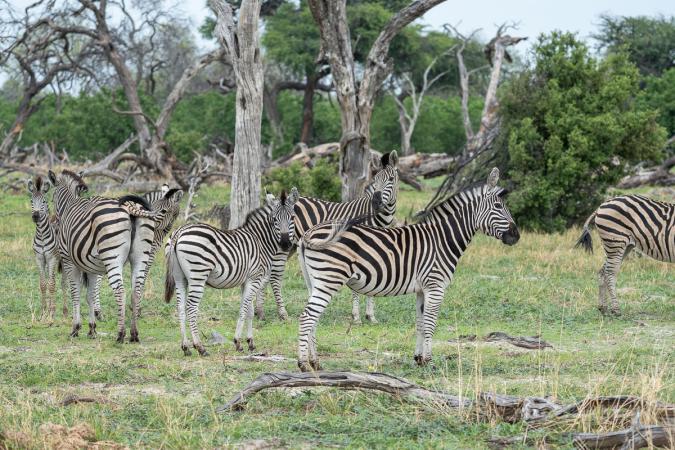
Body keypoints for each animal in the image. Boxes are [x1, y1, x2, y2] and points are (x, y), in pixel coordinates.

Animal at [48, 170, 161, 342]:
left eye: (52, 197)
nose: (54, 220)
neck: (69, 204)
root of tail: (130, 208)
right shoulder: (91, 267)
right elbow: (90, 296)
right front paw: (92, 329)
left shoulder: (69, 261)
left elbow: (76, 293)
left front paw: (75, 328)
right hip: (141, 256)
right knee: (136, 291)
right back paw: (134, 334)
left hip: (112, 256)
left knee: (120, 291)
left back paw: (120, 334)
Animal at [164, 188, 299, 356]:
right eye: (274, 219)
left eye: (292, 217)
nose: (286, 244)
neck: (261, 240)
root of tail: (179, 231)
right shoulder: (255, 278)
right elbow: (244, 309)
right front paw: (238, 342)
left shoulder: (246, 281)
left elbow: (250, 310)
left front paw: (250, 342)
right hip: (198, 275)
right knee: (191, 308)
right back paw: (200, 347)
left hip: (179, 277)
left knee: (181, 307)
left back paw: (185, 347)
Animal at [256, 151, 400, 324]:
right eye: (375, 180)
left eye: (390, 179)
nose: (376, 203)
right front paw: (356, 317)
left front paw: (371, 316)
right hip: (282, 244)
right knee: (275, 276)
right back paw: (282, 313)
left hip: (290, 246)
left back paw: (260, 312)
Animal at [296, 168, 519, 371]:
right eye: (498, 206)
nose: (516, 236)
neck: (442, 239)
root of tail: (309, 233)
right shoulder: (435, 286)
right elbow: (430, 323)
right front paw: (430, 362)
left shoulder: (422, 290)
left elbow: (420, 323)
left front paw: (419, 359)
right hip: (329, 278)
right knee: (307, 317)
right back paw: (303, 364)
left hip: (314, 281)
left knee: (312, 318)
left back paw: (315, 362)